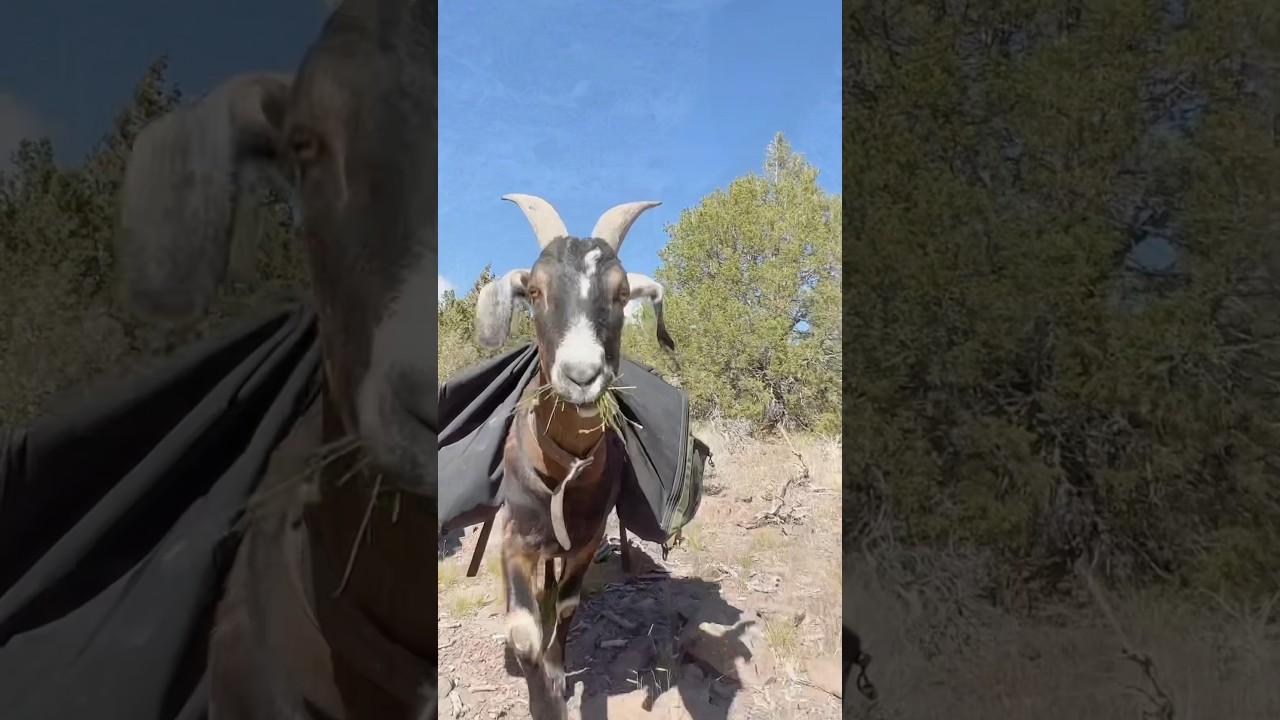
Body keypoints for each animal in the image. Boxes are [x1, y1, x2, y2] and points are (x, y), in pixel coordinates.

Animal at [474, 193, 672, 719]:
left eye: (621, 293)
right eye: (534, 290)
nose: (581, 375)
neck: (564, 468)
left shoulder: (586, 540)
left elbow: (565, 607)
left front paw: (559, 674)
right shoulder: (515, 537)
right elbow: (523, 633)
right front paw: (543, 698)